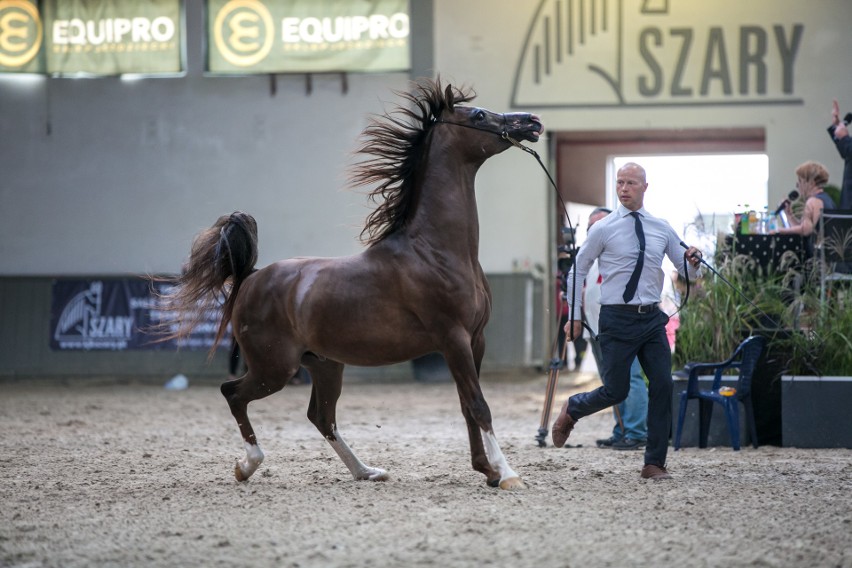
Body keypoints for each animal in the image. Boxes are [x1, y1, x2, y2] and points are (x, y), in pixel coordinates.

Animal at [163, 77, 544, 490]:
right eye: (478, 115)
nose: (532, 121)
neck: (435, 251)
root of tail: (250, 276)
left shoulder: (475, 339)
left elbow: (466, 405)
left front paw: (486, 470)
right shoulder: (453, 338)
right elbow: (479, 405)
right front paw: (507, 474)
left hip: (324, 365)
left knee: (321, 416)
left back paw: (367, 471)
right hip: (275, 368)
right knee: (233, 394)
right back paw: (247, 465)